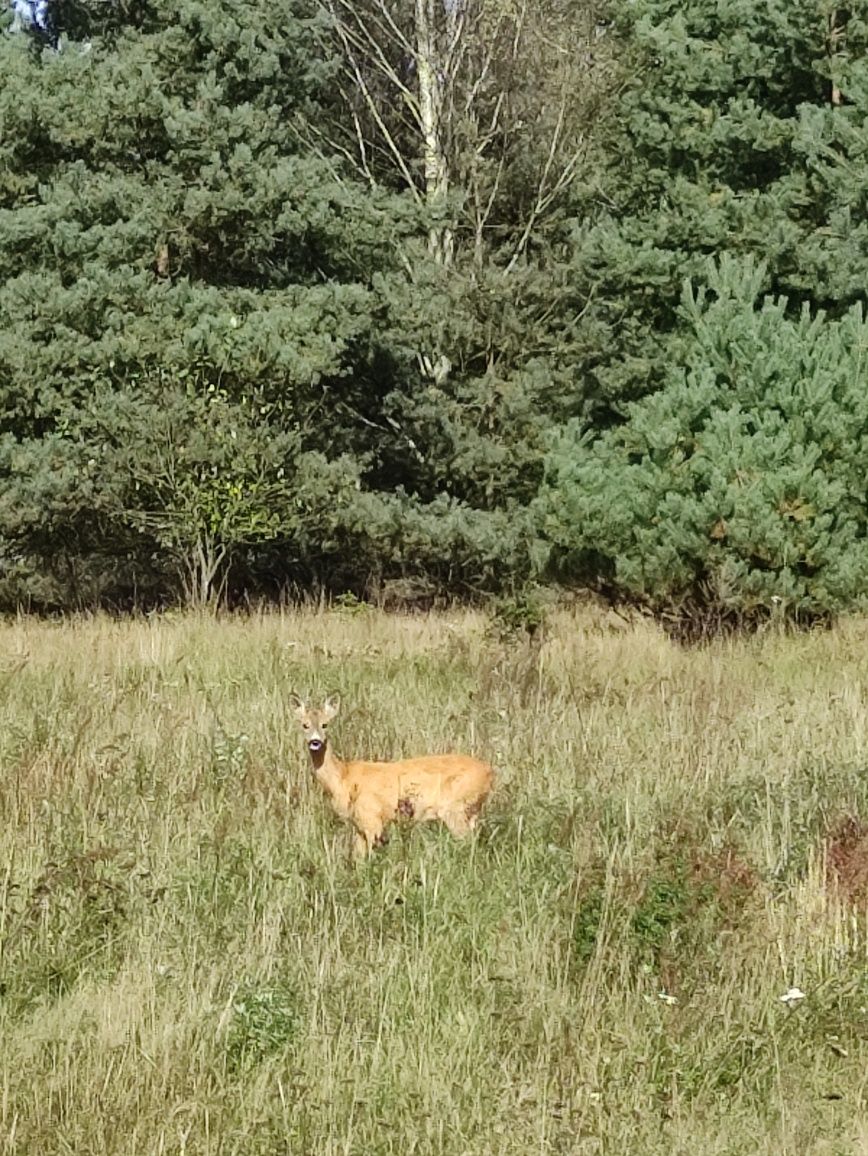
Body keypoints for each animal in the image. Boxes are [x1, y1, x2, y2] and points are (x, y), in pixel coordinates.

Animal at [288, 693, 494, 860]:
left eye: (325, 725)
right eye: (305, 725)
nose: (315, 741)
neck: (343, 778)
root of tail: (490, 771)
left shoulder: (372, 818)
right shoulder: (359, 825)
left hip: (454, 807)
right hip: (471, 809)